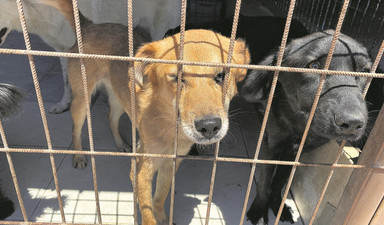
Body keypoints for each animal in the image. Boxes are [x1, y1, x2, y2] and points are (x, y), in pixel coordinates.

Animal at [42, 0, 250, 224]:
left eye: (222, 75)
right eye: (177, 78)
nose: (209, 126)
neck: (170, 126)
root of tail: (90, 26)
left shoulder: (170, 165)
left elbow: (159, 197)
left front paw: (164, 218)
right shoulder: (141, 170)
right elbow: (147, 207)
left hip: (119, 96)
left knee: (111, 118)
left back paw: (121, 144)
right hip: (82, 99)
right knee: (76, 127)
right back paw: (79, 156)